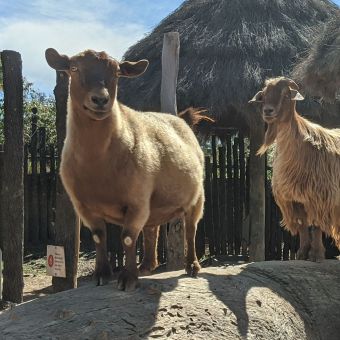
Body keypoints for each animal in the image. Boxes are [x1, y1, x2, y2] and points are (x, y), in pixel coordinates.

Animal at [45, 47, 207, 290]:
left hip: (196, 197)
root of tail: (181, 119)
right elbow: (99, 237)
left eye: (117, 73)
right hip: (153, 204)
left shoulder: (136, 200)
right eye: (74, 68)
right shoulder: (84, 206)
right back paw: (147, 266)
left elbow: (128, 238)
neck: (98, 165)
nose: (100, 99)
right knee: (152, 228)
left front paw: (127, 279)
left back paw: (192, 266)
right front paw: (102, 274)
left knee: (191, 229)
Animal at [250, 77, 340, 260]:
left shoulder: (318, 197)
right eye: (264, 95)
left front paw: (316, 255)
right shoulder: (294, 199)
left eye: (286, 94)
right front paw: (302, 253)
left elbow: (316, 225)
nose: (268, 111)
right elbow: (302, 225)